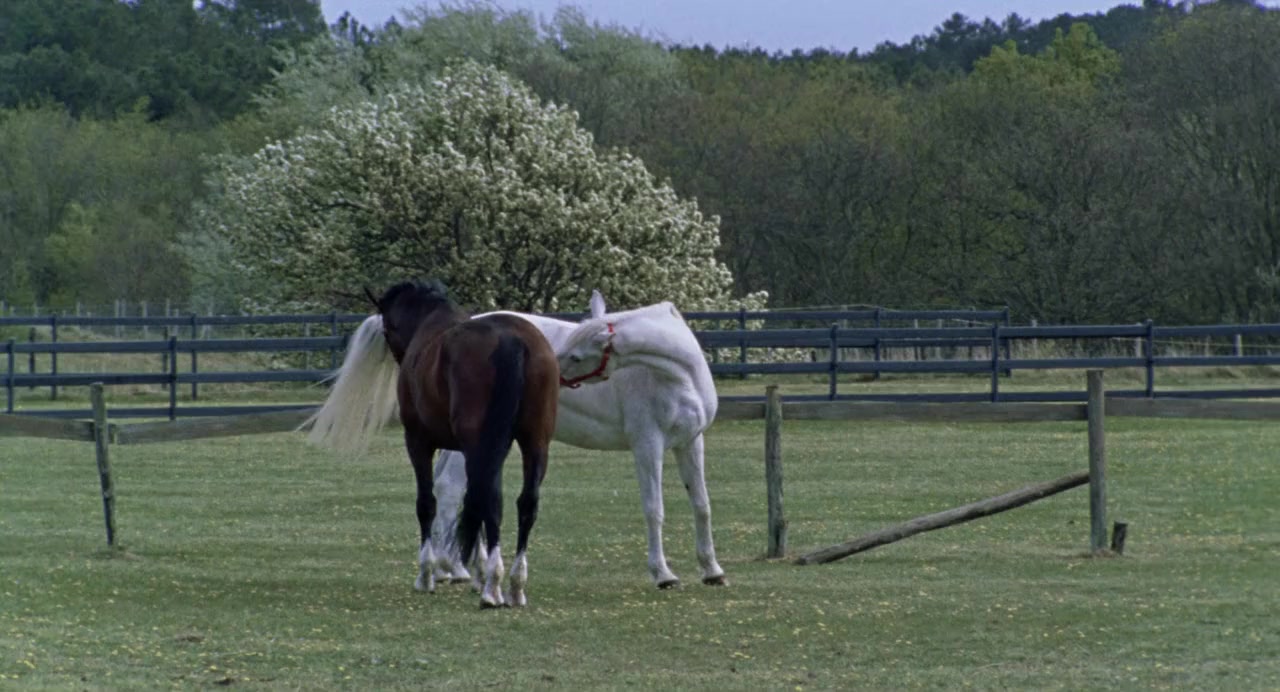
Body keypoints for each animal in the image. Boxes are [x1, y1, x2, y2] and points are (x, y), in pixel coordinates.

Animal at [304, 280, 561, 608]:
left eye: (386, 328)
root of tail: (511, 340)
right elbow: (472, 503)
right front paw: (474, 573)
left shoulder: (419, 441)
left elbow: (427, 503)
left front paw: (427, 574)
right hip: (534, 442)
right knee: (525, 502)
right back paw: (515, 586)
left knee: (491, 501)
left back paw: (493, 586)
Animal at [430, 290, 727, 589]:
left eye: (575, 357)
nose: (551, 371)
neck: (681, 379)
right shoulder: (648, 445)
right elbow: (654, 509)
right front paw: (663, 574)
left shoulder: (690, 442)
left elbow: (702, 505)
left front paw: (712, 570)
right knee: (451, 488)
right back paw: (456, 569)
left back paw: (451, 570)